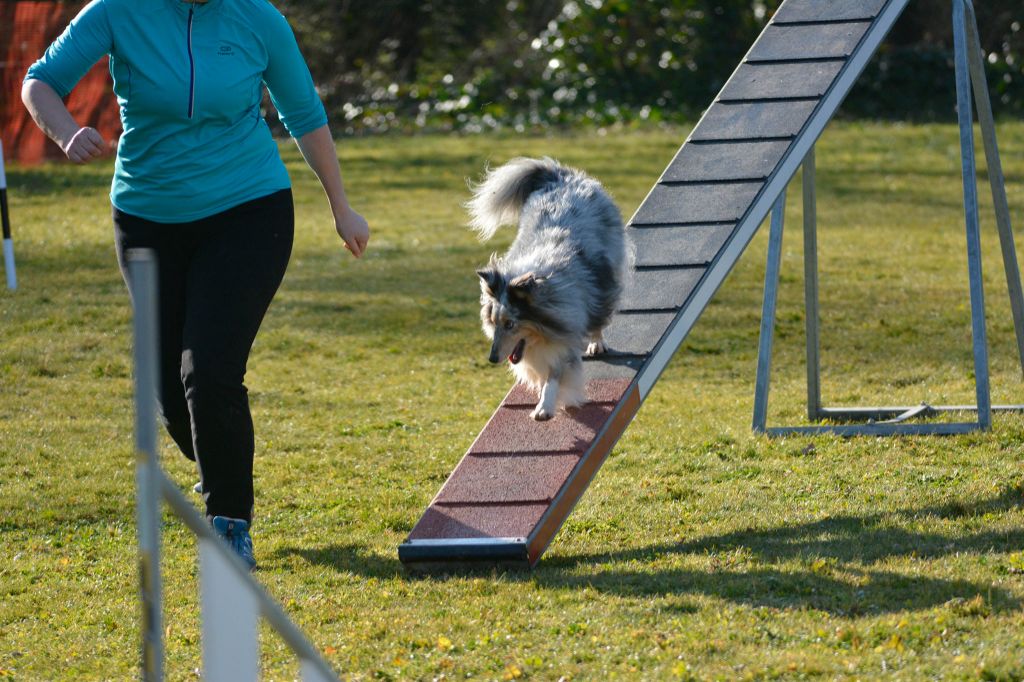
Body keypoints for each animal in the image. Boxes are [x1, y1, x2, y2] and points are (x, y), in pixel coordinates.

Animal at [468, 157, 626, 419]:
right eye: (493, 322)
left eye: (510, 324)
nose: (492, 358)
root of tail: (560, 175)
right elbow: (542, 375)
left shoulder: (566, 333)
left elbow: (555, 375)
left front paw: (545, 407)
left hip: (605, 277)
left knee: (600, 313)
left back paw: (596, 343)